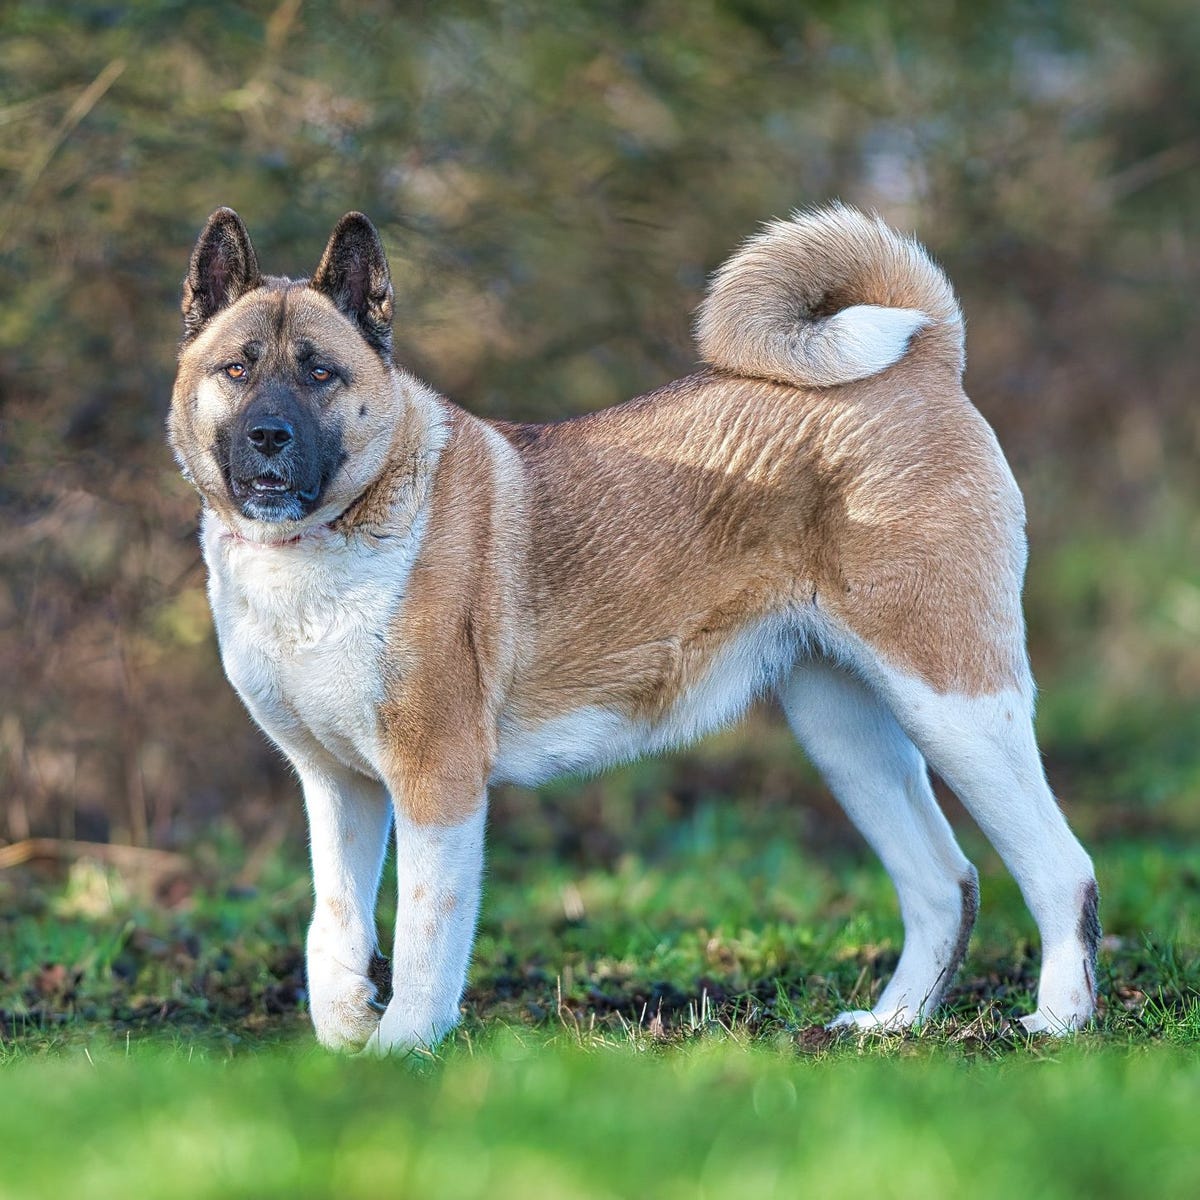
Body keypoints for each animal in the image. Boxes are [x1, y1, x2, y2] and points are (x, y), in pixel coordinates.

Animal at [166, 206, 1099, 1051]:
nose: (268, 436)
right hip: (845, 729)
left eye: (321, 373)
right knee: (947, 882)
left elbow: (427, 931)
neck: (320, 545)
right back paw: (892, 1025)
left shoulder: (438, 778)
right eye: (237, 367)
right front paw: (348, 1036)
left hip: (954, 699)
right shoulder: (337, 786)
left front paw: (402, 1050)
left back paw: (1057, 1022)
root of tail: (928, 361)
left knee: (1062, 870)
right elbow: (334, 929)